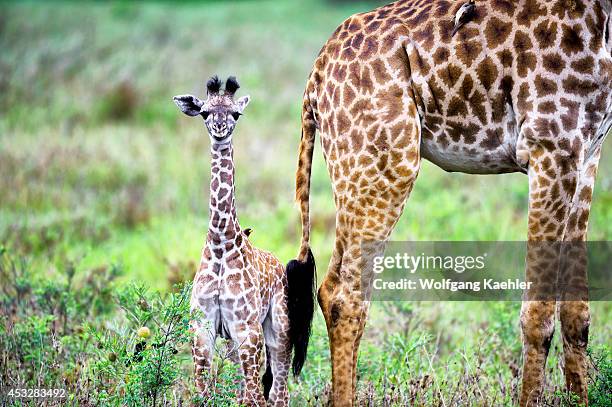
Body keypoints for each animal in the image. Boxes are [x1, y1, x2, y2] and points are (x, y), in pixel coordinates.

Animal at [172, 75, 316, 404]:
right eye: (204, 112)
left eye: (236, 114)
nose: (220, 129)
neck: (221, 241)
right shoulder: (202, 328)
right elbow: (204, 392)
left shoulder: (246, 328)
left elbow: (254, 396)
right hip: (234, 341)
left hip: (278, 328)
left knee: (277, 392)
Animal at [290, 0, 612, 406]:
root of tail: (316, 73)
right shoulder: (550, 143)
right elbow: (538, 315)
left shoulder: (588, 150)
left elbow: (576, 311)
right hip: (384, 163)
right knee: (342, 294)